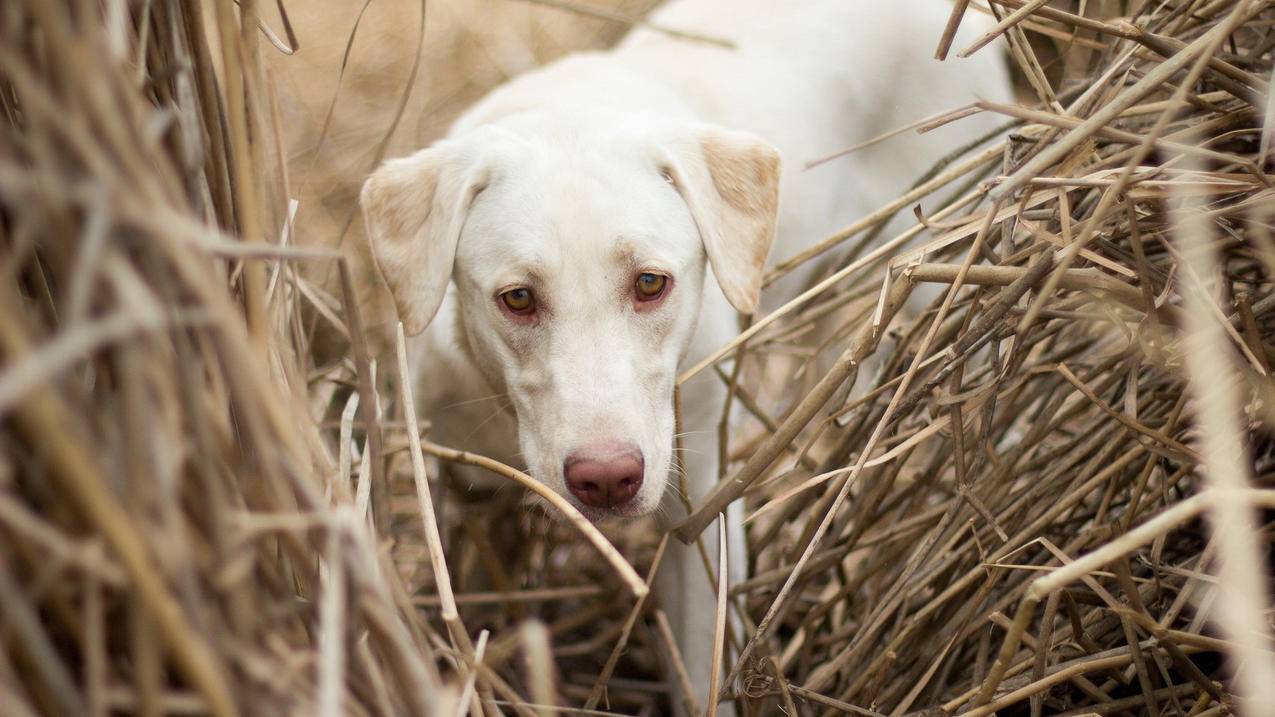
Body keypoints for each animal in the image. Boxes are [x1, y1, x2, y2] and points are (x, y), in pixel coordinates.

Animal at [364, 0, 1009, 709]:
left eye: (651, 283)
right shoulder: (462, 489)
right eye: (518, 298)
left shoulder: (699, 517)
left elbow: (703, 664)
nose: (606, 478)